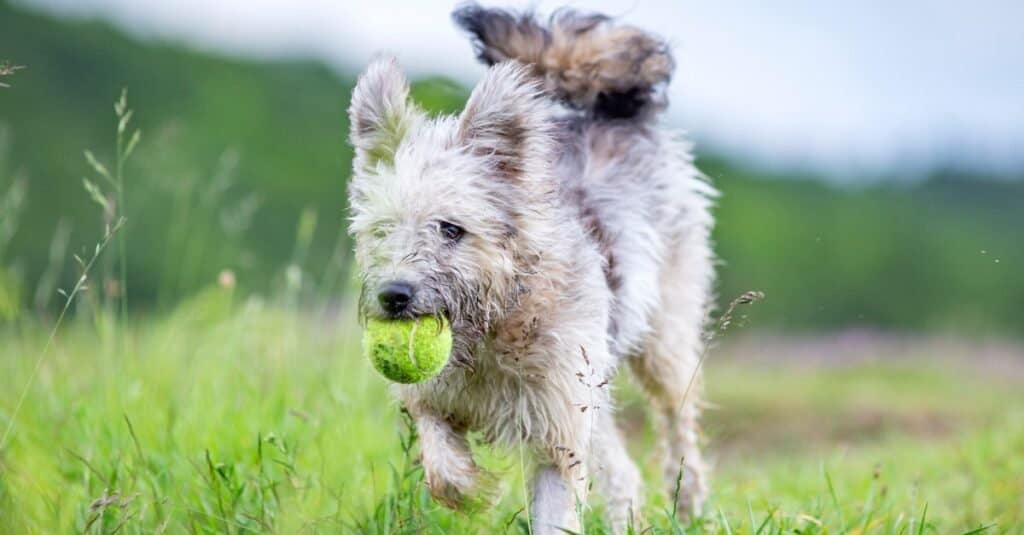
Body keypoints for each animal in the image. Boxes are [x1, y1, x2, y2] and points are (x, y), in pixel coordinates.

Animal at [348, 3, 716, 528]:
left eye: (450, 229)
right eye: (382, 231)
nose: (393, 296)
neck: (492, 326)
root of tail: (607, 115)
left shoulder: (557, 433)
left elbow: (555, 513)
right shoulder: (435, 397)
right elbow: (438, 453)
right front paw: (472, 490)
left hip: (664, 344)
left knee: (677, 421)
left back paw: (690, 506)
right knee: (624, 471)